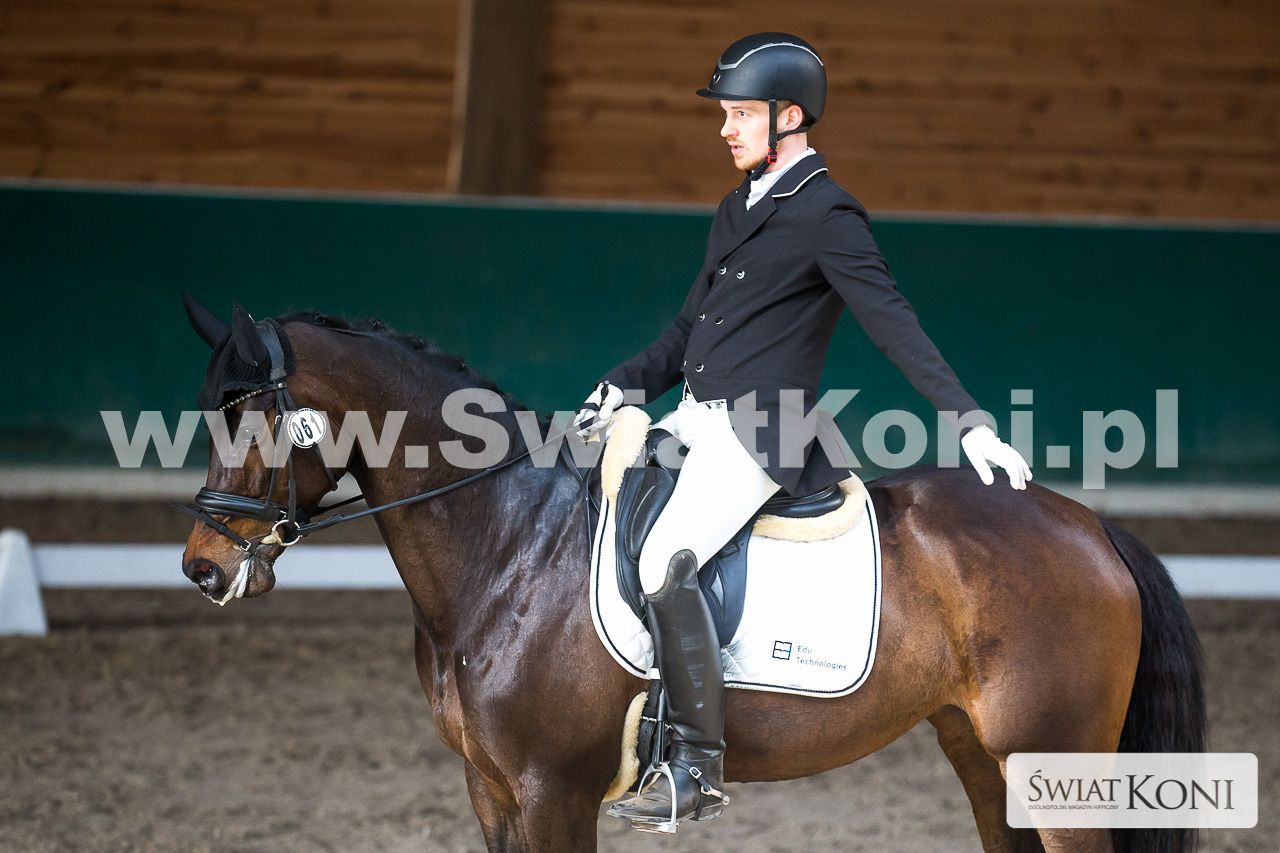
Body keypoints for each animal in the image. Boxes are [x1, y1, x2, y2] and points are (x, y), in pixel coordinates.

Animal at [179, 302, 1205, 853]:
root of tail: (1088, 525)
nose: (202, 565)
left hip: (1054, 762)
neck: (509, 546)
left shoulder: (553, 789)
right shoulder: (491, 787)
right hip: (984, 756)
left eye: (255, 418)